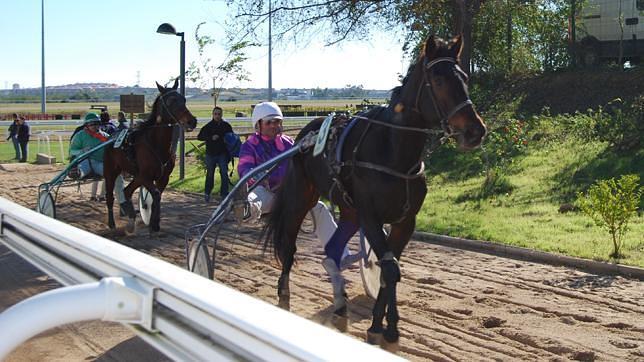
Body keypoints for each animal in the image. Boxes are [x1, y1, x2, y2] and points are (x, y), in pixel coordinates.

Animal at [104, 80, 196, 233]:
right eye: (171, 100)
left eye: (184, 99)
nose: (192, 121)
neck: (156, 143)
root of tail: (111, 137)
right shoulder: (145, 176)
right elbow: (156, 195)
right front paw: (153, 223)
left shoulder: (162, 177)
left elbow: (157, 196)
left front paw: (154, 223)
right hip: (111, 171)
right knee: (110, 197)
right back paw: (112, 223)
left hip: (135, 176)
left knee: (127, 191)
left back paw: (130, 217)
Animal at [264, 35, 486, 350]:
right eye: (439, 80)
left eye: (464, 78)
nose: (475, 130)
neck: (394, 154)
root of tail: (307, 132)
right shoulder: (370, 217)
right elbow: (390, 269)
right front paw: (387, 328)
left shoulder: (404, 222)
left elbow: (389, 269)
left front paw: (380, 325)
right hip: (301, 197)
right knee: (289, 244)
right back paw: (284, 293)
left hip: (349, 210)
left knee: (332, 252)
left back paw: (339, 303)